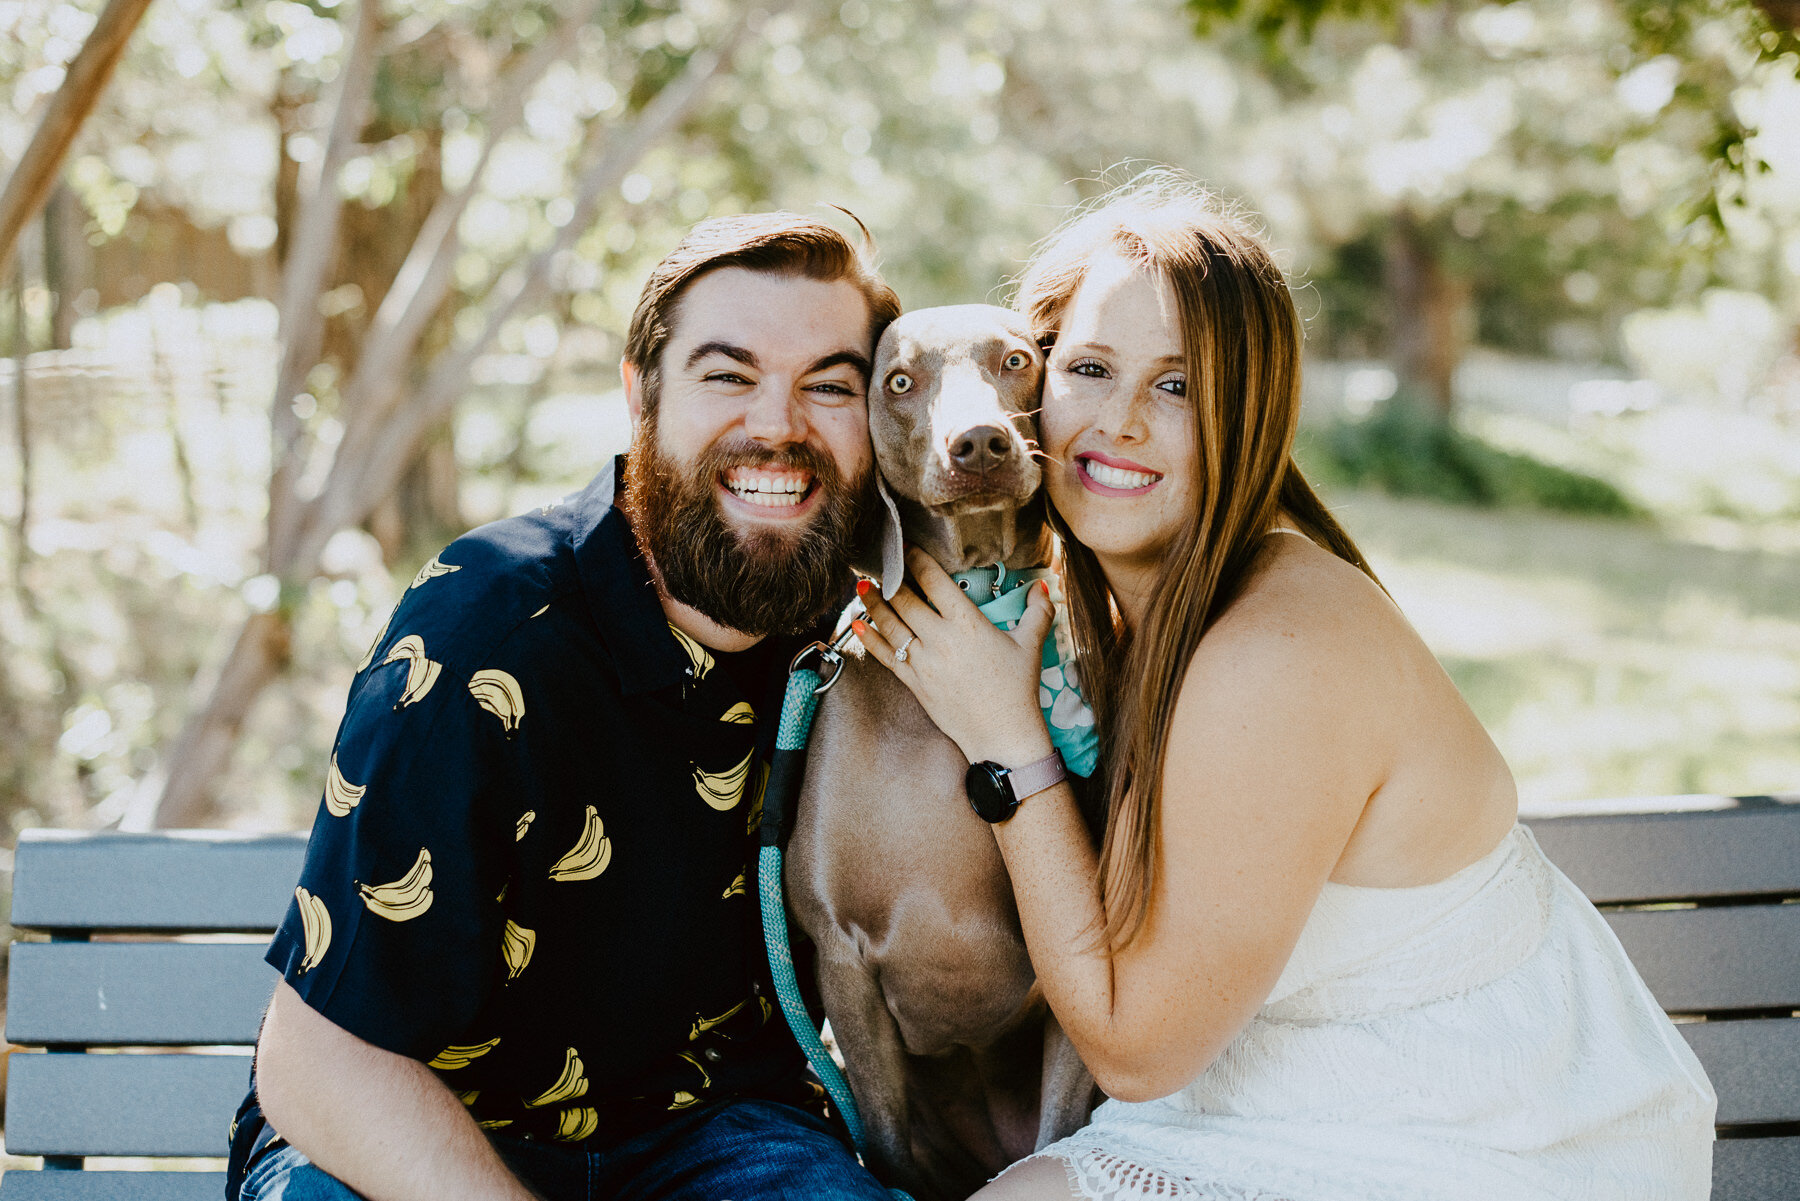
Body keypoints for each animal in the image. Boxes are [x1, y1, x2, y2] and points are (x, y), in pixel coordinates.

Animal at [795, 307, 1101, 1201]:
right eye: (899, 379)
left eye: (1017, 360)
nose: (981, 443)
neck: (977, 591)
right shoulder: (842, 962)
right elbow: (885, 1146)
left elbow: (1058, 1129)